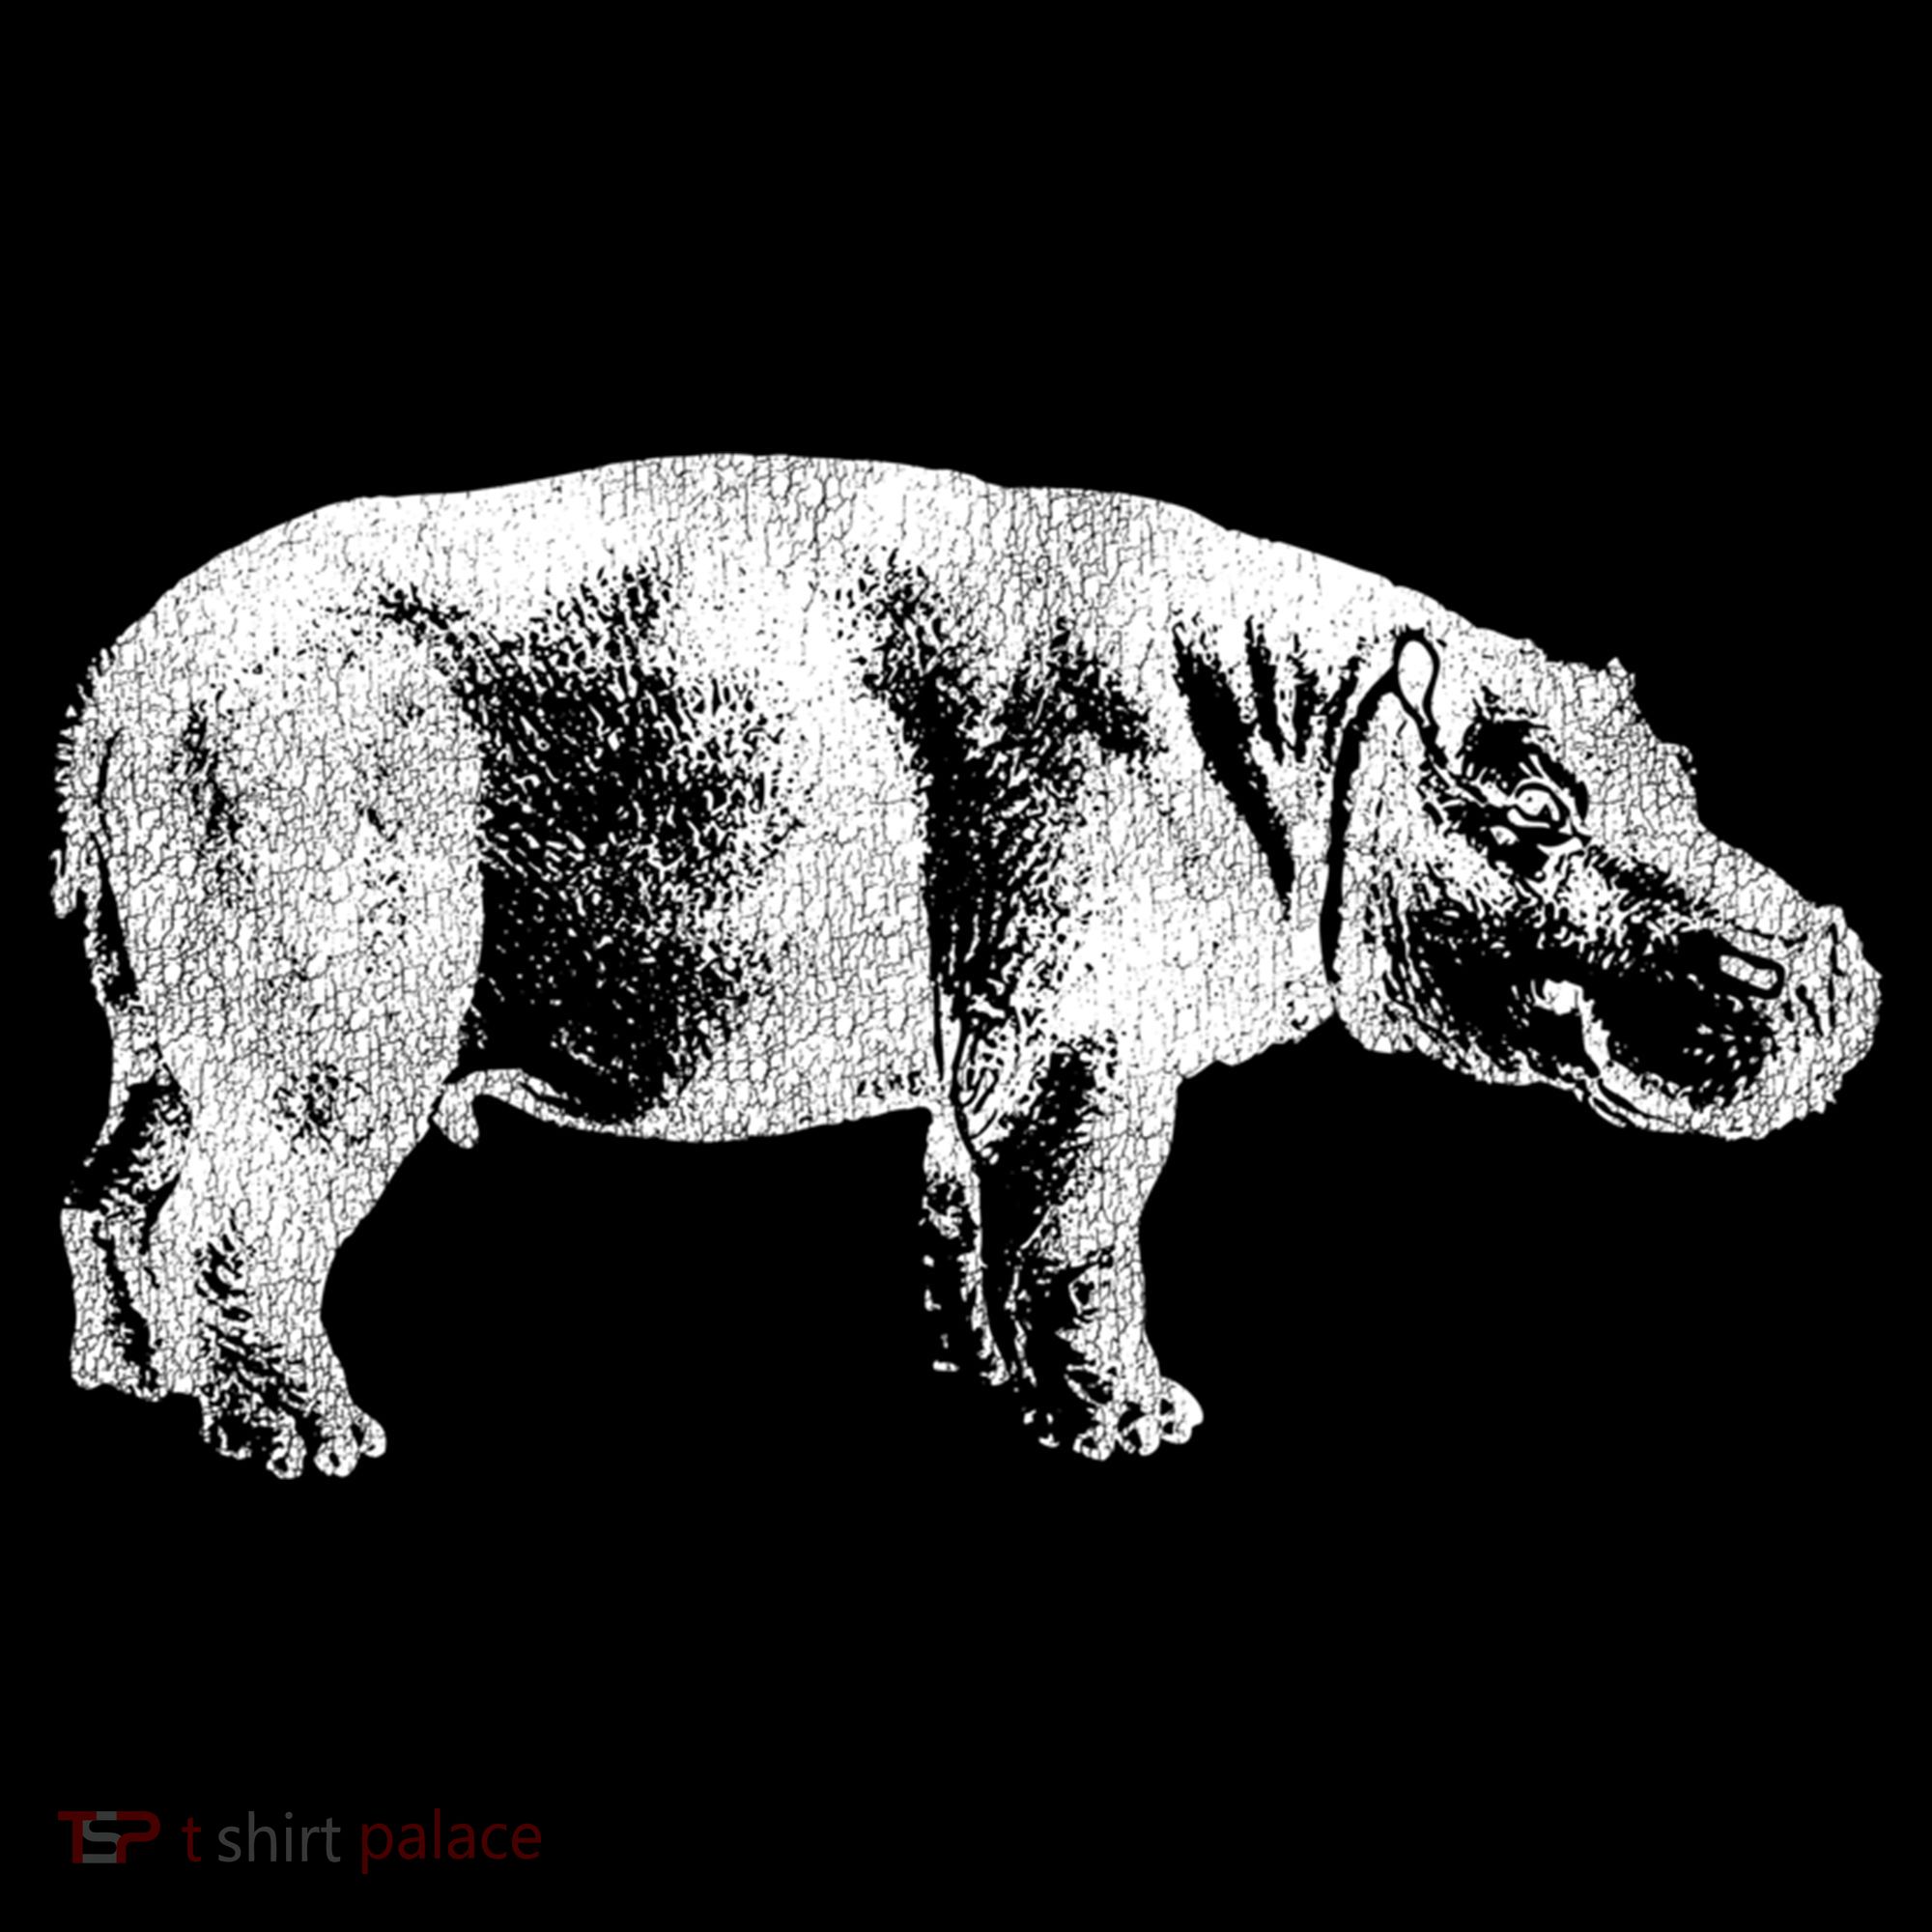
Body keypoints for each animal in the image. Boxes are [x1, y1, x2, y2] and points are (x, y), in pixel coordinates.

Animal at [52, 455, 1881, 1474]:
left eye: (1684, 771)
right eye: (1529, 806)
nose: (1820, 954)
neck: (1308, 728)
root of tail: (119, 678)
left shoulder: (984, 1045)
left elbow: (966, 1216)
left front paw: (980, 1380)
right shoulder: (1083, 1046)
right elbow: (1084, 1229)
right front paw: (1138, 1431)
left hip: (176, 1039)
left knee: (112, 1189)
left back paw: (137, 1388)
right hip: (327, 1037)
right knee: (237, 1222)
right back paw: (311, 1446)